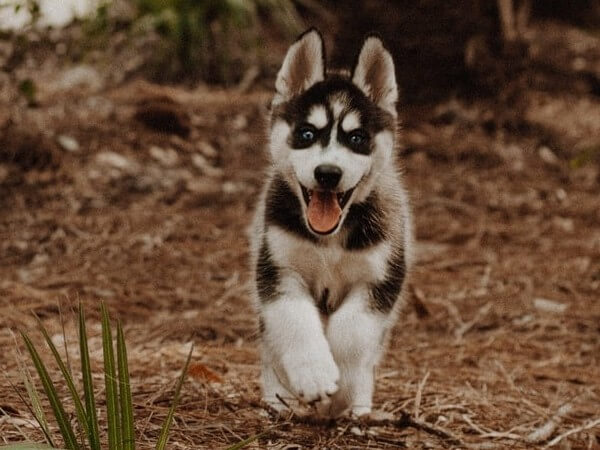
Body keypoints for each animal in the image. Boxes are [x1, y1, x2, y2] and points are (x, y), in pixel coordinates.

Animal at [250, 28, 412, 416]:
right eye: (307, 134)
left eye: (357, 138)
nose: (327, 173)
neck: (330, 240)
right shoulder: (278, 270)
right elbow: (296, 321)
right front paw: (314, 375)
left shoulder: (380, 278)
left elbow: (352, 332)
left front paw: (341, 386)